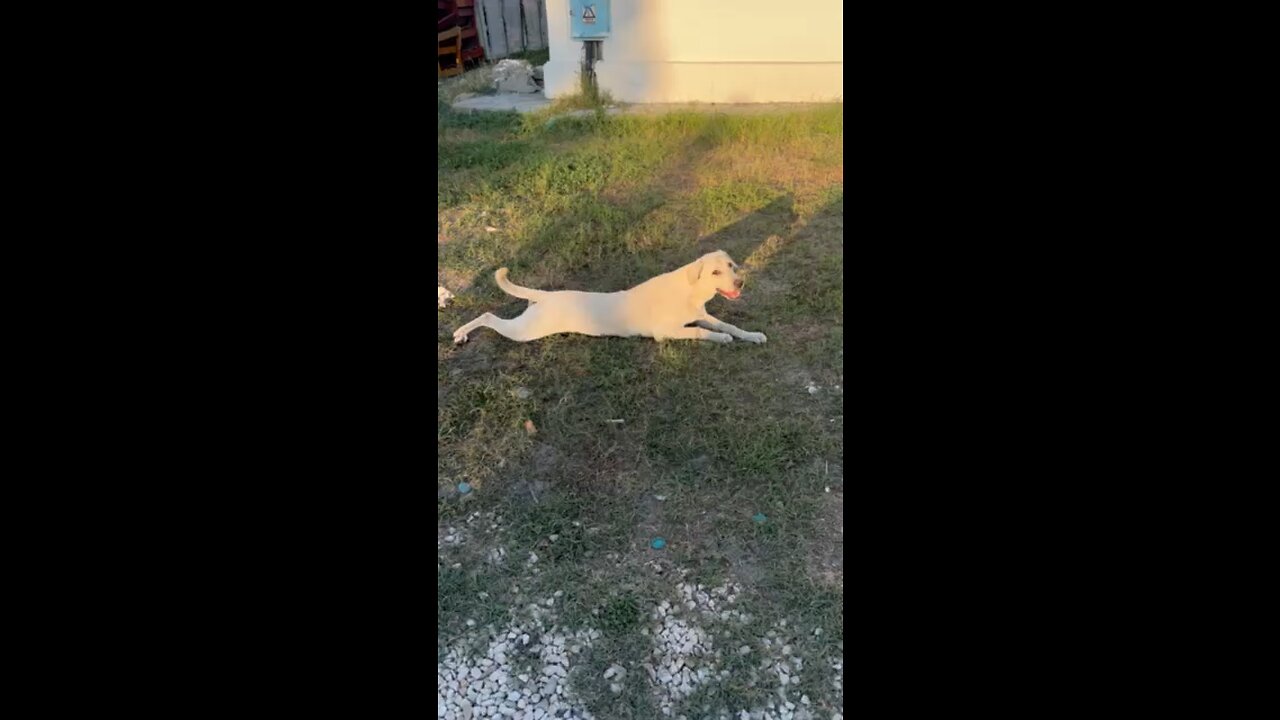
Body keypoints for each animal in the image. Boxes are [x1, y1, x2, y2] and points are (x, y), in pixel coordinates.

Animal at [455, 251, 762, 343]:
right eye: (715, 272)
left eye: (731, 266)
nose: (741, 282)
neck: (689, 290)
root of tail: (546, 296)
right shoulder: (665, 332)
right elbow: (701, 332)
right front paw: (722, 338)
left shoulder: (701, 314)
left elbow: (728, 324)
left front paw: (752, 335)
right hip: (524, 331)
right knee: (488, 316)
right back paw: (460, 333)